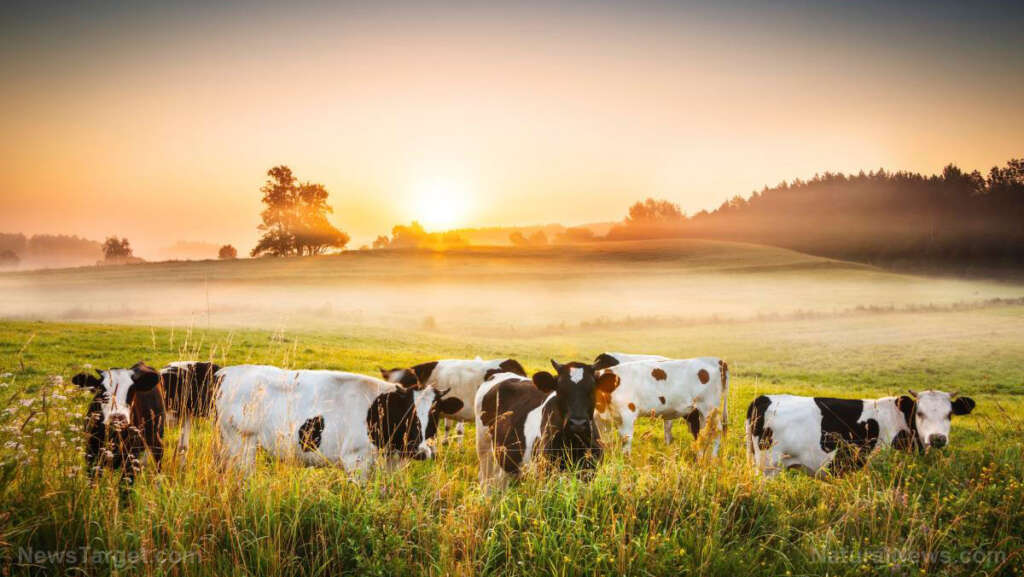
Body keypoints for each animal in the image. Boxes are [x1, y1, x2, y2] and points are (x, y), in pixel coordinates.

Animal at [215, 365, 463, 475]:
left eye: (435, 412)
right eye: (408, 412)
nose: (420, 452)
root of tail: (226, 372)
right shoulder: (356, 460)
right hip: (240, 441)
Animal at [474, 360, 619, 490]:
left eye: (591, 390)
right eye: (561, 391)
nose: (577, 423)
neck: (574, 444)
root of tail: (499, 375)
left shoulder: (589, 472)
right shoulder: (546, 471)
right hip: (484, 446)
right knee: (486, 480)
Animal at [594, 356, 729, 456]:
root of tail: (717, 360)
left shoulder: (627, 415)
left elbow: (625, 440)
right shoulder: (601, 419)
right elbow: (604, 441)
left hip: (709, 407)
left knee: (716, 431)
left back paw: (712, 459)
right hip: (701, 411)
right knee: (702, 433)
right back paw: (701, 458)